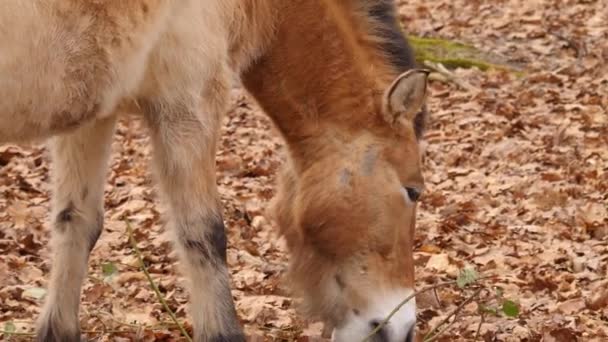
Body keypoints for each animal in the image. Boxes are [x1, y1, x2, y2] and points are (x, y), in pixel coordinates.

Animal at [0, 0, 428, 342]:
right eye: (412, 191)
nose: (404, 328)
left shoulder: (95, 113)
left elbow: (76, 223)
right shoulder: (190, 103)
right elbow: (204, 236)